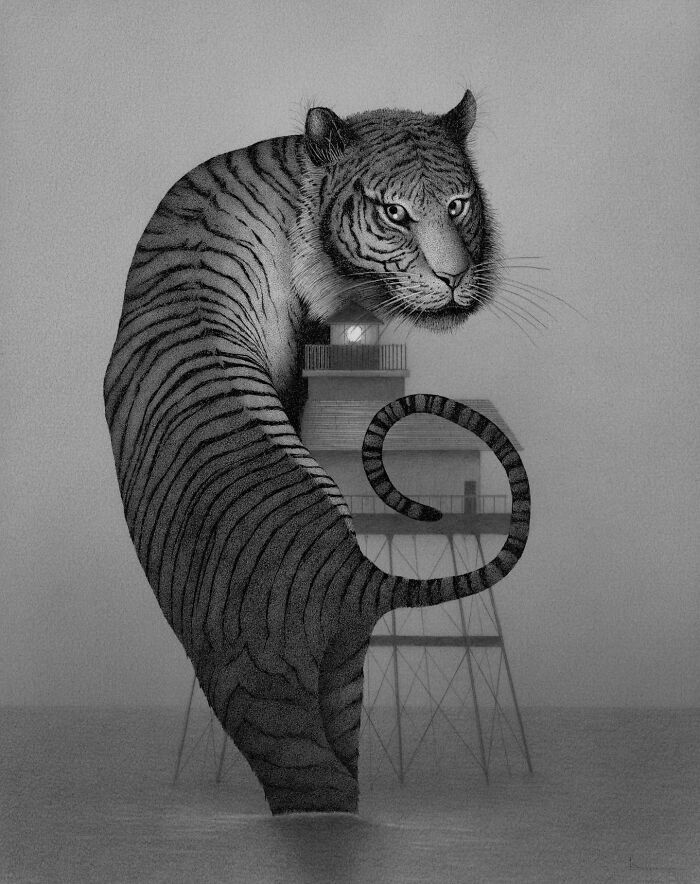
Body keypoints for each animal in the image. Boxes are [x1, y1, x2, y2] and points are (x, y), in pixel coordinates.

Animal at [103, 90, 531, 815]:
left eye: (458, 205)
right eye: (395, 213)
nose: (454, 279)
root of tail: (354, 574)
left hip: (270, 688)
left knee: (313, 783)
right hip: (322, 676)